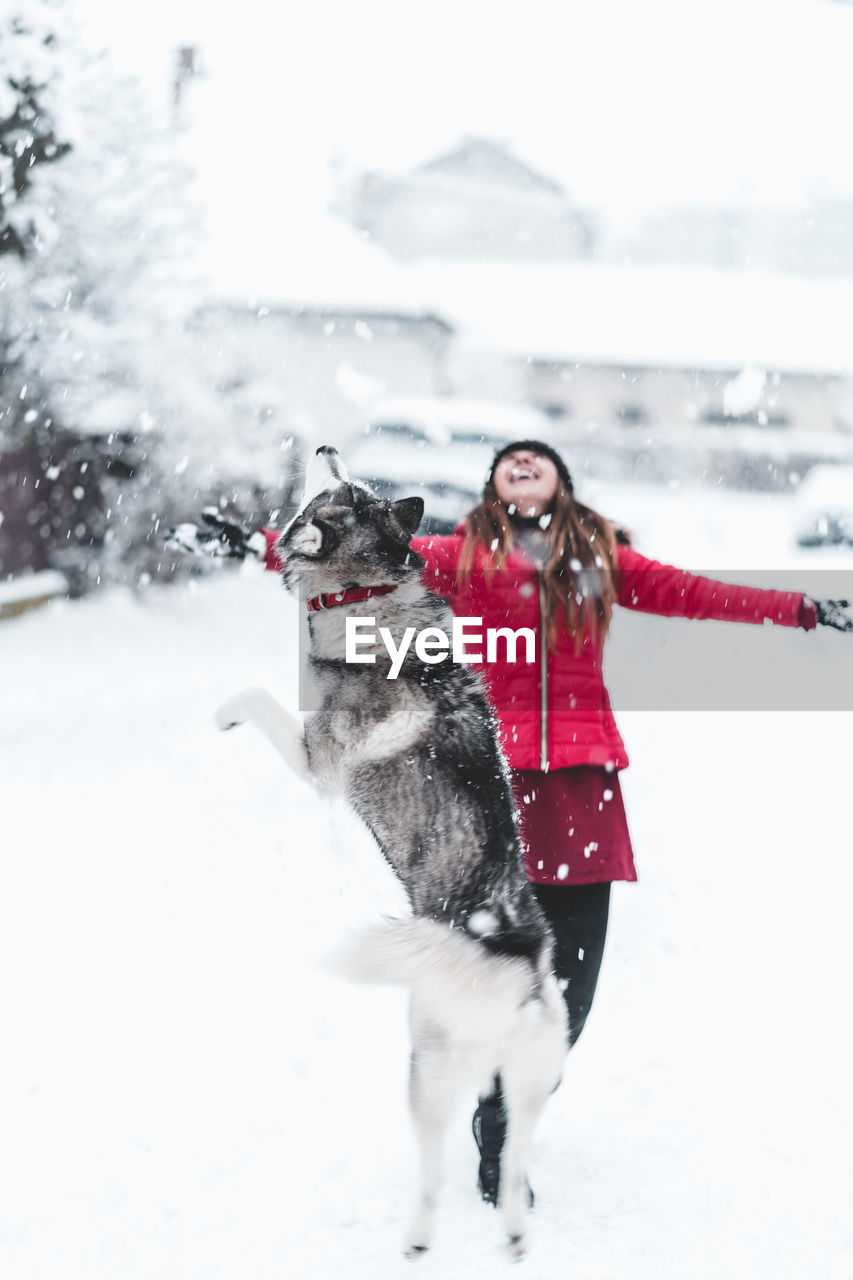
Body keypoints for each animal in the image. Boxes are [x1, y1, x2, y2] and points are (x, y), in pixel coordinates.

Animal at [216, 445, 568, 1254]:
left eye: (340, 490)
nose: (323, 449)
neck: (367, 590)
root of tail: (512, 960)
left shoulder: (317, 757)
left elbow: (262, 697)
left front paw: (225, 711)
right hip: (531, 1085)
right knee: (513, 1160)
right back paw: (511, 1235)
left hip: (427, 1070)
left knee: (435, 1167)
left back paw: (417, 1237)